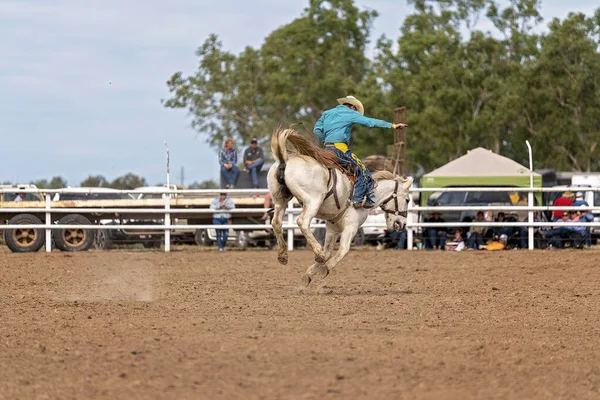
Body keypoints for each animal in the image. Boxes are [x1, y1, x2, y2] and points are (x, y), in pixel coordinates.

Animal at [268, 126, 412, 286]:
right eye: (407, 200)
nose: (402, 224)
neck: (372, 193)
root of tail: (285, 159)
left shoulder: (332, 228)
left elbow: (329, 251)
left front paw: (309, 275)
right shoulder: (352, 226)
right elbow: (344, 249)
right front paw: (326, 267)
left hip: (280, 200)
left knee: (276, 222)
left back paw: (283, 255)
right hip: (313, 201)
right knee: (302, 222)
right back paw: (317, 252)